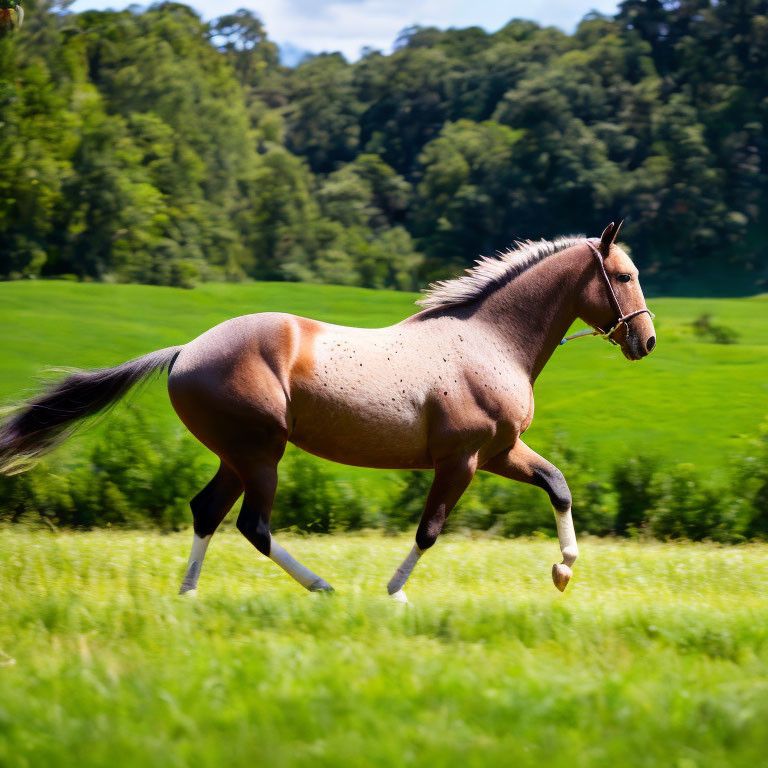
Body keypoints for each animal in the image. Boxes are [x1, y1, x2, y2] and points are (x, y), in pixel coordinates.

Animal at [0, 222, 656, 600]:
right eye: (624, 275)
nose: (645, 342)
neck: (489, 341)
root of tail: (184, 352)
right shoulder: (462, 461)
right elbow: (429, 530)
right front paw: (394, 595)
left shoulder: (498, 453)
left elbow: (558, 484)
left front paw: (564, 571)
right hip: (260, 453)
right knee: (252, 525)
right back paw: (322, 588)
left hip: (237, 456)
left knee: (207, 511)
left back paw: (187, 597)